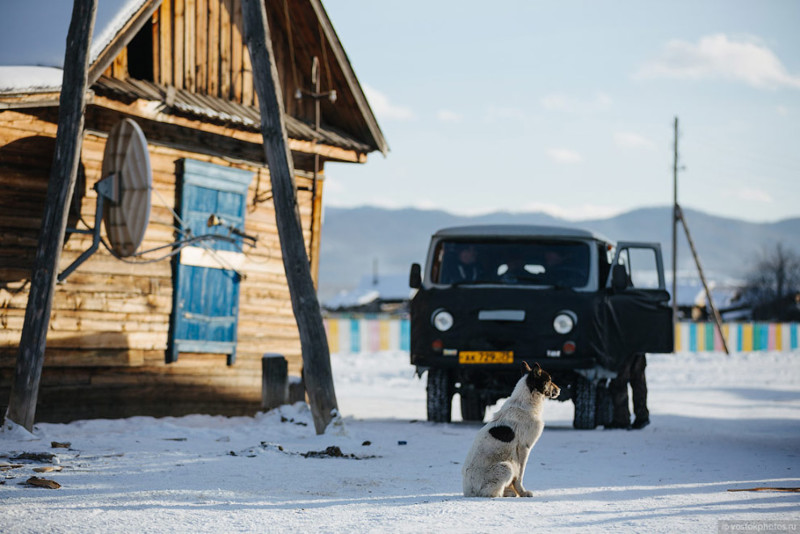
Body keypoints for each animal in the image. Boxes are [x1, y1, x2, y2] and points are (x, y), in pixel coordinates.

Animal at [460, 362, 560, 500]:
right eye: (549, 380)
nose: (559, 390)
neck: (526, 402)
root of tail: (468, 491)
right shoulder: (523, 449)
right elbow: (520, 476)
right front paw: (522, 493)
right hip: (506, 466)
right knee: (488, 492)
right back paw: (504, 493)